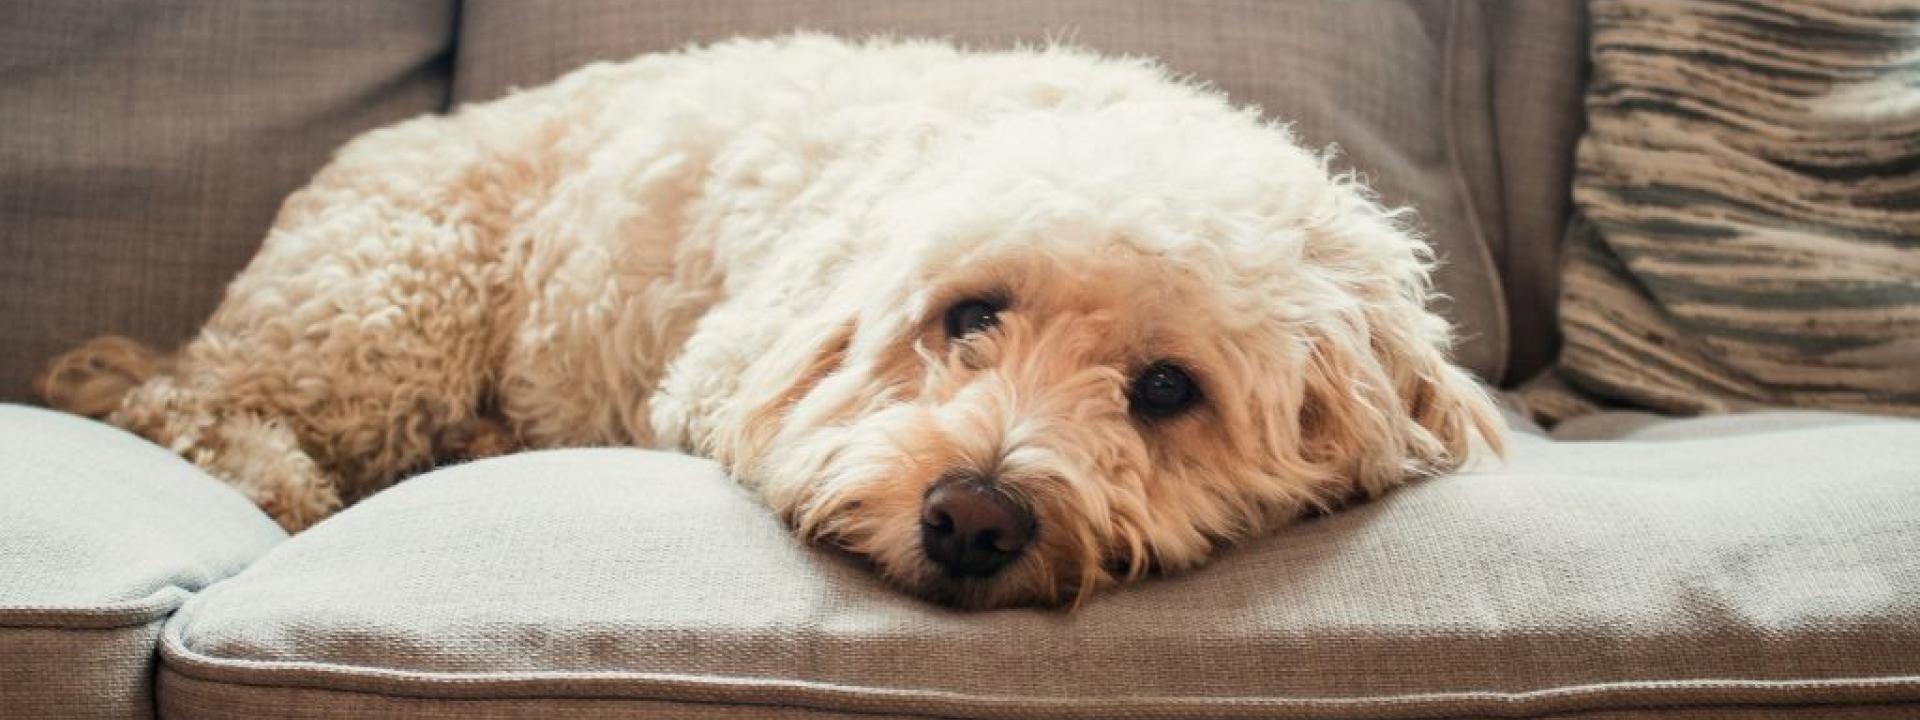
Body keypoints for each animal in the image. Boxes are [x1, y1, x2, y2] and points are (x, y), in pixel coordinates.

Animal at [33, 33, 1497, 610]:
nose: (973, 518)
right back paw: (278, 473)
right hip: (387, 301)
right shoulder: (719, 374)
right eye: (968, 315)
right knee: (190, 401)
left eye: (1168, 390)